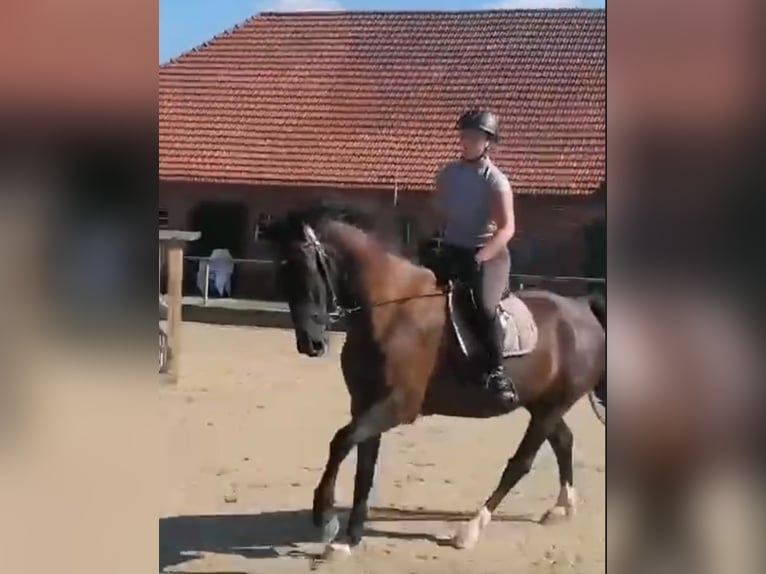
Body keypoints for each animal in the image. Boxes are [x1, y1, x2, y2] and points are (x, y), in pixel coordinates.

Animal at [264, 204, 606, 554]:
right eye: (281, 276)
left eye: (307, 272)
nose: (311, 344)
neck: (388, 312)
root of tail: (582, 309)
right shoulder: (364, 403)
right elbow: (364, 465)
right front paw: (349, 539)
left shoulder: (399, 406)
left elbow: (341, 441)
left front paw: (326, 518)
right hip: (541, 403)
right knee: (563, 440)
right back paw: (562, 508)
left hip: (551, 406)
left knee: (521, 462)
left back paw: (470, 530)